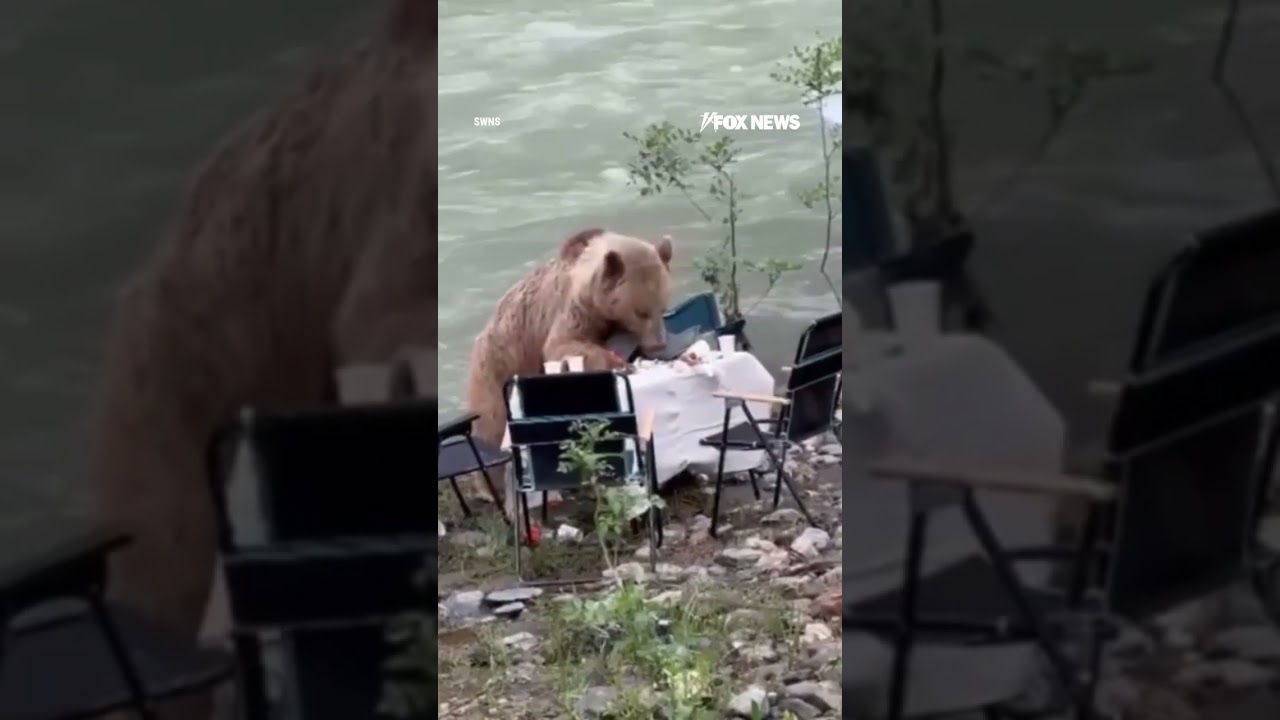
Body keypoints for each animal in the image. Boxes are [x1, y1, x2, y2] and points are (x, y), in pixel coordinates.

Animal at [464, 229, 674, 479]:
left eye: (662, 307)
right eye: (641, 312)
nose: (658, 345)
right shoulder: (576, 309)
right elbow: (562, 345)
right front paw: (619, 362)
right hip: (496, 369)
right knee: (491, 427)